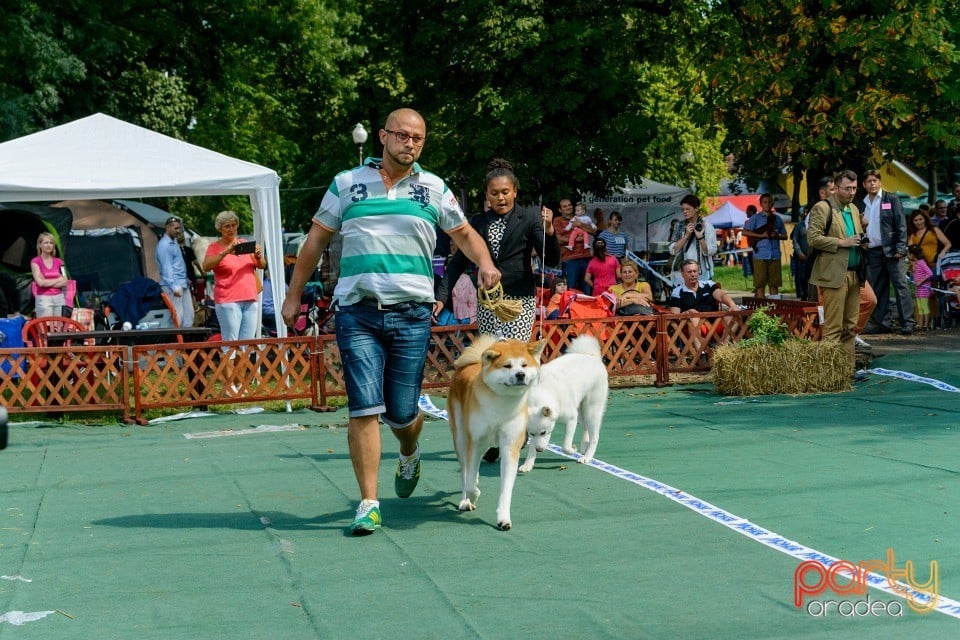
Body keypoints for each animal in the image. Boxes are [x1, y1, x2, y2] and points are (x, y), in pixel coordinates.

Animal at [446, 336, 544, 528]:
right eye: (507, 366)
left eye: (524, 365)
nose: (520, 375)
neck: (501, 401)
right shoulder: (475, 441)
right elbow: (469, 484)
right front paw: (473, 496)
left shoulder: (510, 445)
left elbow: (506, 488)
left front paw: (503, 518)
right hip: (461, 438)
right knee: (465, 472)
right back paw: (464, 500)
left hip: (486, 445)